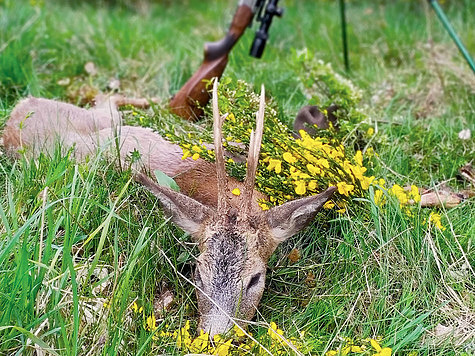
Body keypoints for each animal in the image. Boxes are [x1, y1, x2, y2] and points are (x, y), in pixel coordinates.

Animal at [0, 80, 334, 336]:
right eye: (197, 274)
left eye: (255, 279)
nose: (213, 340)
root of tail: (16, 113)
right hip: (103, 120)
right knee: (106, 100)